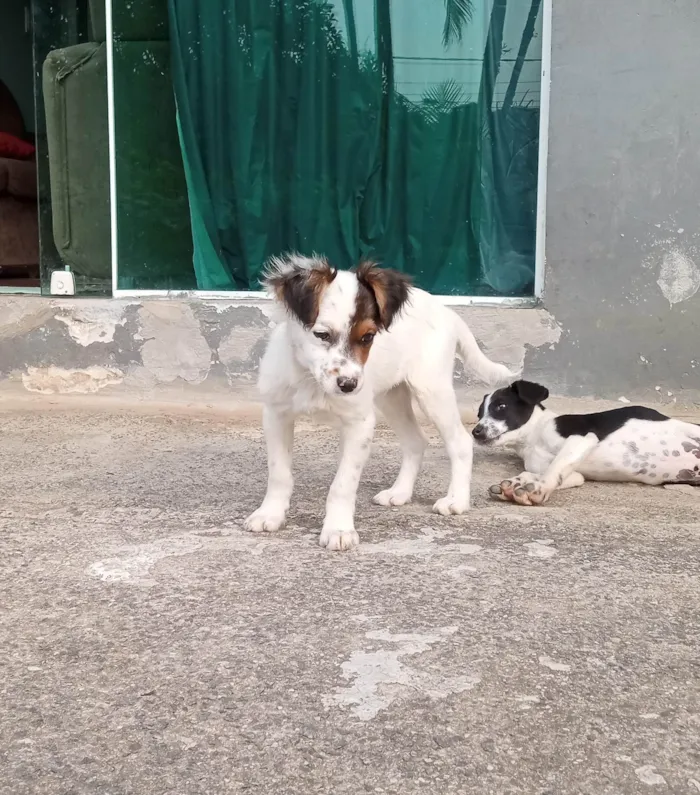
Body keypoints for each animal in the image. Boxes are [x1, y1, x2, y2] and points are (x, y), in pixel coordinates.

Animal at [245, 255, 516, 552]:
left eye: (368, 337)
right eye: (322, 335)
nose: (349, 385)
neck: (311, 380)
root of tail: (446, 311)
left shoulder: (359, 423)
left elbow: (342, 484)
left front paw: (338, 529)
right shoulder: (276, 415)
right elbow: (279, 473)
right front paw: (270, 514)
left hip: (432, 390)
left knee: (460, 442)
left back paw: (456, 500)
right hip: (392, 396)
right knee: (415, 441)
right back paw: (400, 492)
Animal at [470, 382, 700, 506]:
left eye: (501, 406)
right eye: (479, 414)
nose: (475, 431)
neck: (533, 437)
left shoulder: (581, 437)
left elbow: (554, 468)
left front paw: (539, 488)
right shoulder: (576, 473)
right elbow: (556, 473)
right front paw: (517, 484)